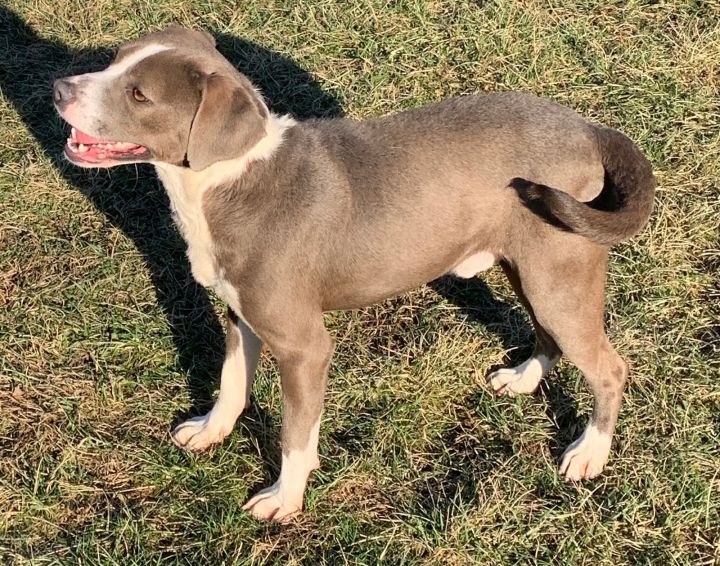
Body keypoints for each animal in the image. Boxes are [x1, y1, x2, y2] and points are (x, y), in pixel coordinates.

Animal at [53, 26, 656, 524]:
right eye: (115, 60)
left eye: (139, 95)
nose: (58, 89)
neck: (224, 182)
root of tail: (589, 129)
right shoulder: (240, 314)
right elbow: (231, 384)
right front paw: (210, 432)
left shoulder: (304, 347)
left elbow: (294, 434)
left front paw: (284, 501)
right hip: (532, 267)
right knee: (549, 334)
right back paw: (526, 377)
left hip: (557, 273)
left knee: (608, 367)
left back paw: (589, 454)